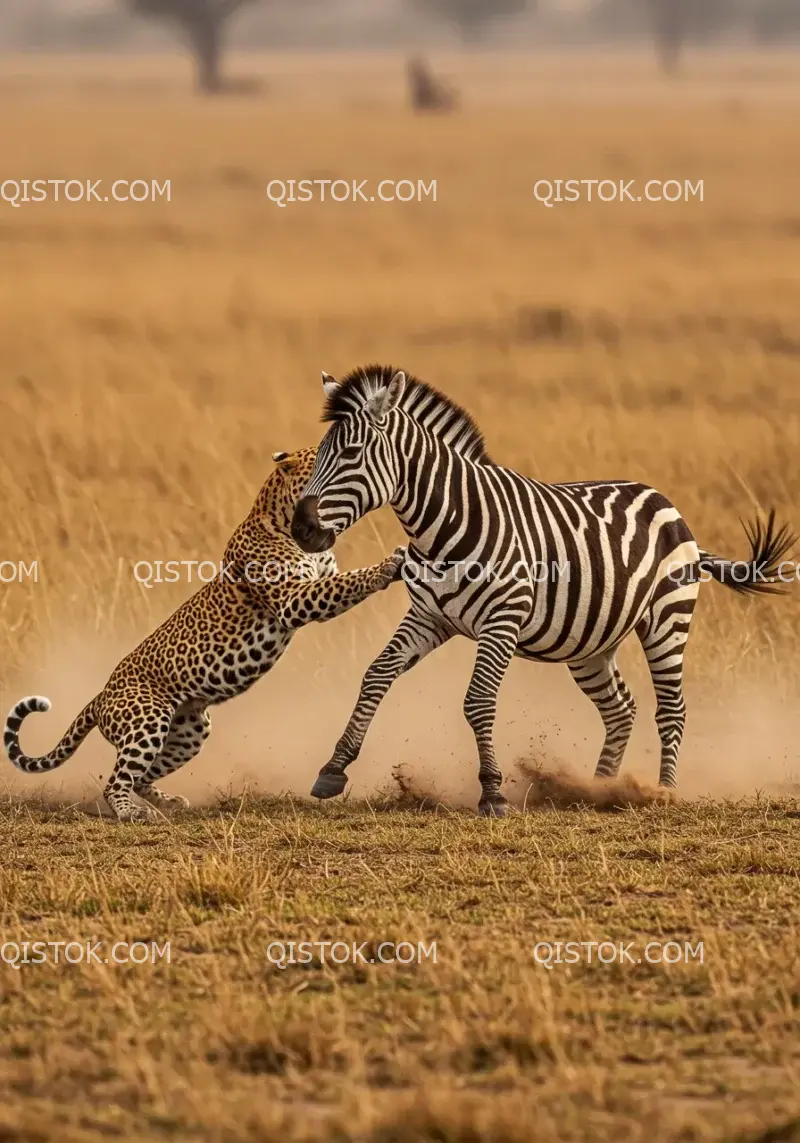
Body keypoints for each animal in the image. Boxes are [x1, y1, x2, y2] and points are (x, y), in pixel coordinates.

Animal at [4, 445, 406, 822]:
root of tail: (100, 697)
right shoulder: (294, 600)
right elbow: (346, 584)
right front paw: (388, 565)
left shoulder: (319, 578)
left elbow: (342, 581)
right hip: (147, 721)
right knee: (116, 780)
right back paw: (133, 813)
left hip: (189, 731)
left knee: (142, 776)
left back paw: (171, 802)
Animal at [292, 363, 795, 813]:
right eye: (318, 455)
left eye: (352, 453)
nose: (301, 529)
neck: (443, 526)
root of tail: (664, 500)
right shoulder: (428, 617)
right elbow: (376, 674)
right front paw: (333, 769)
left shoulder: (502, 621)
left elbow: (478, 702)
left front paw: (492, 793)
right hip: (591, 643)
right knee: (621, 708)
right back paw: (597, 790)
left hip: (668, 619)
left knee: (671, 708)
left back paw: (663, 793)